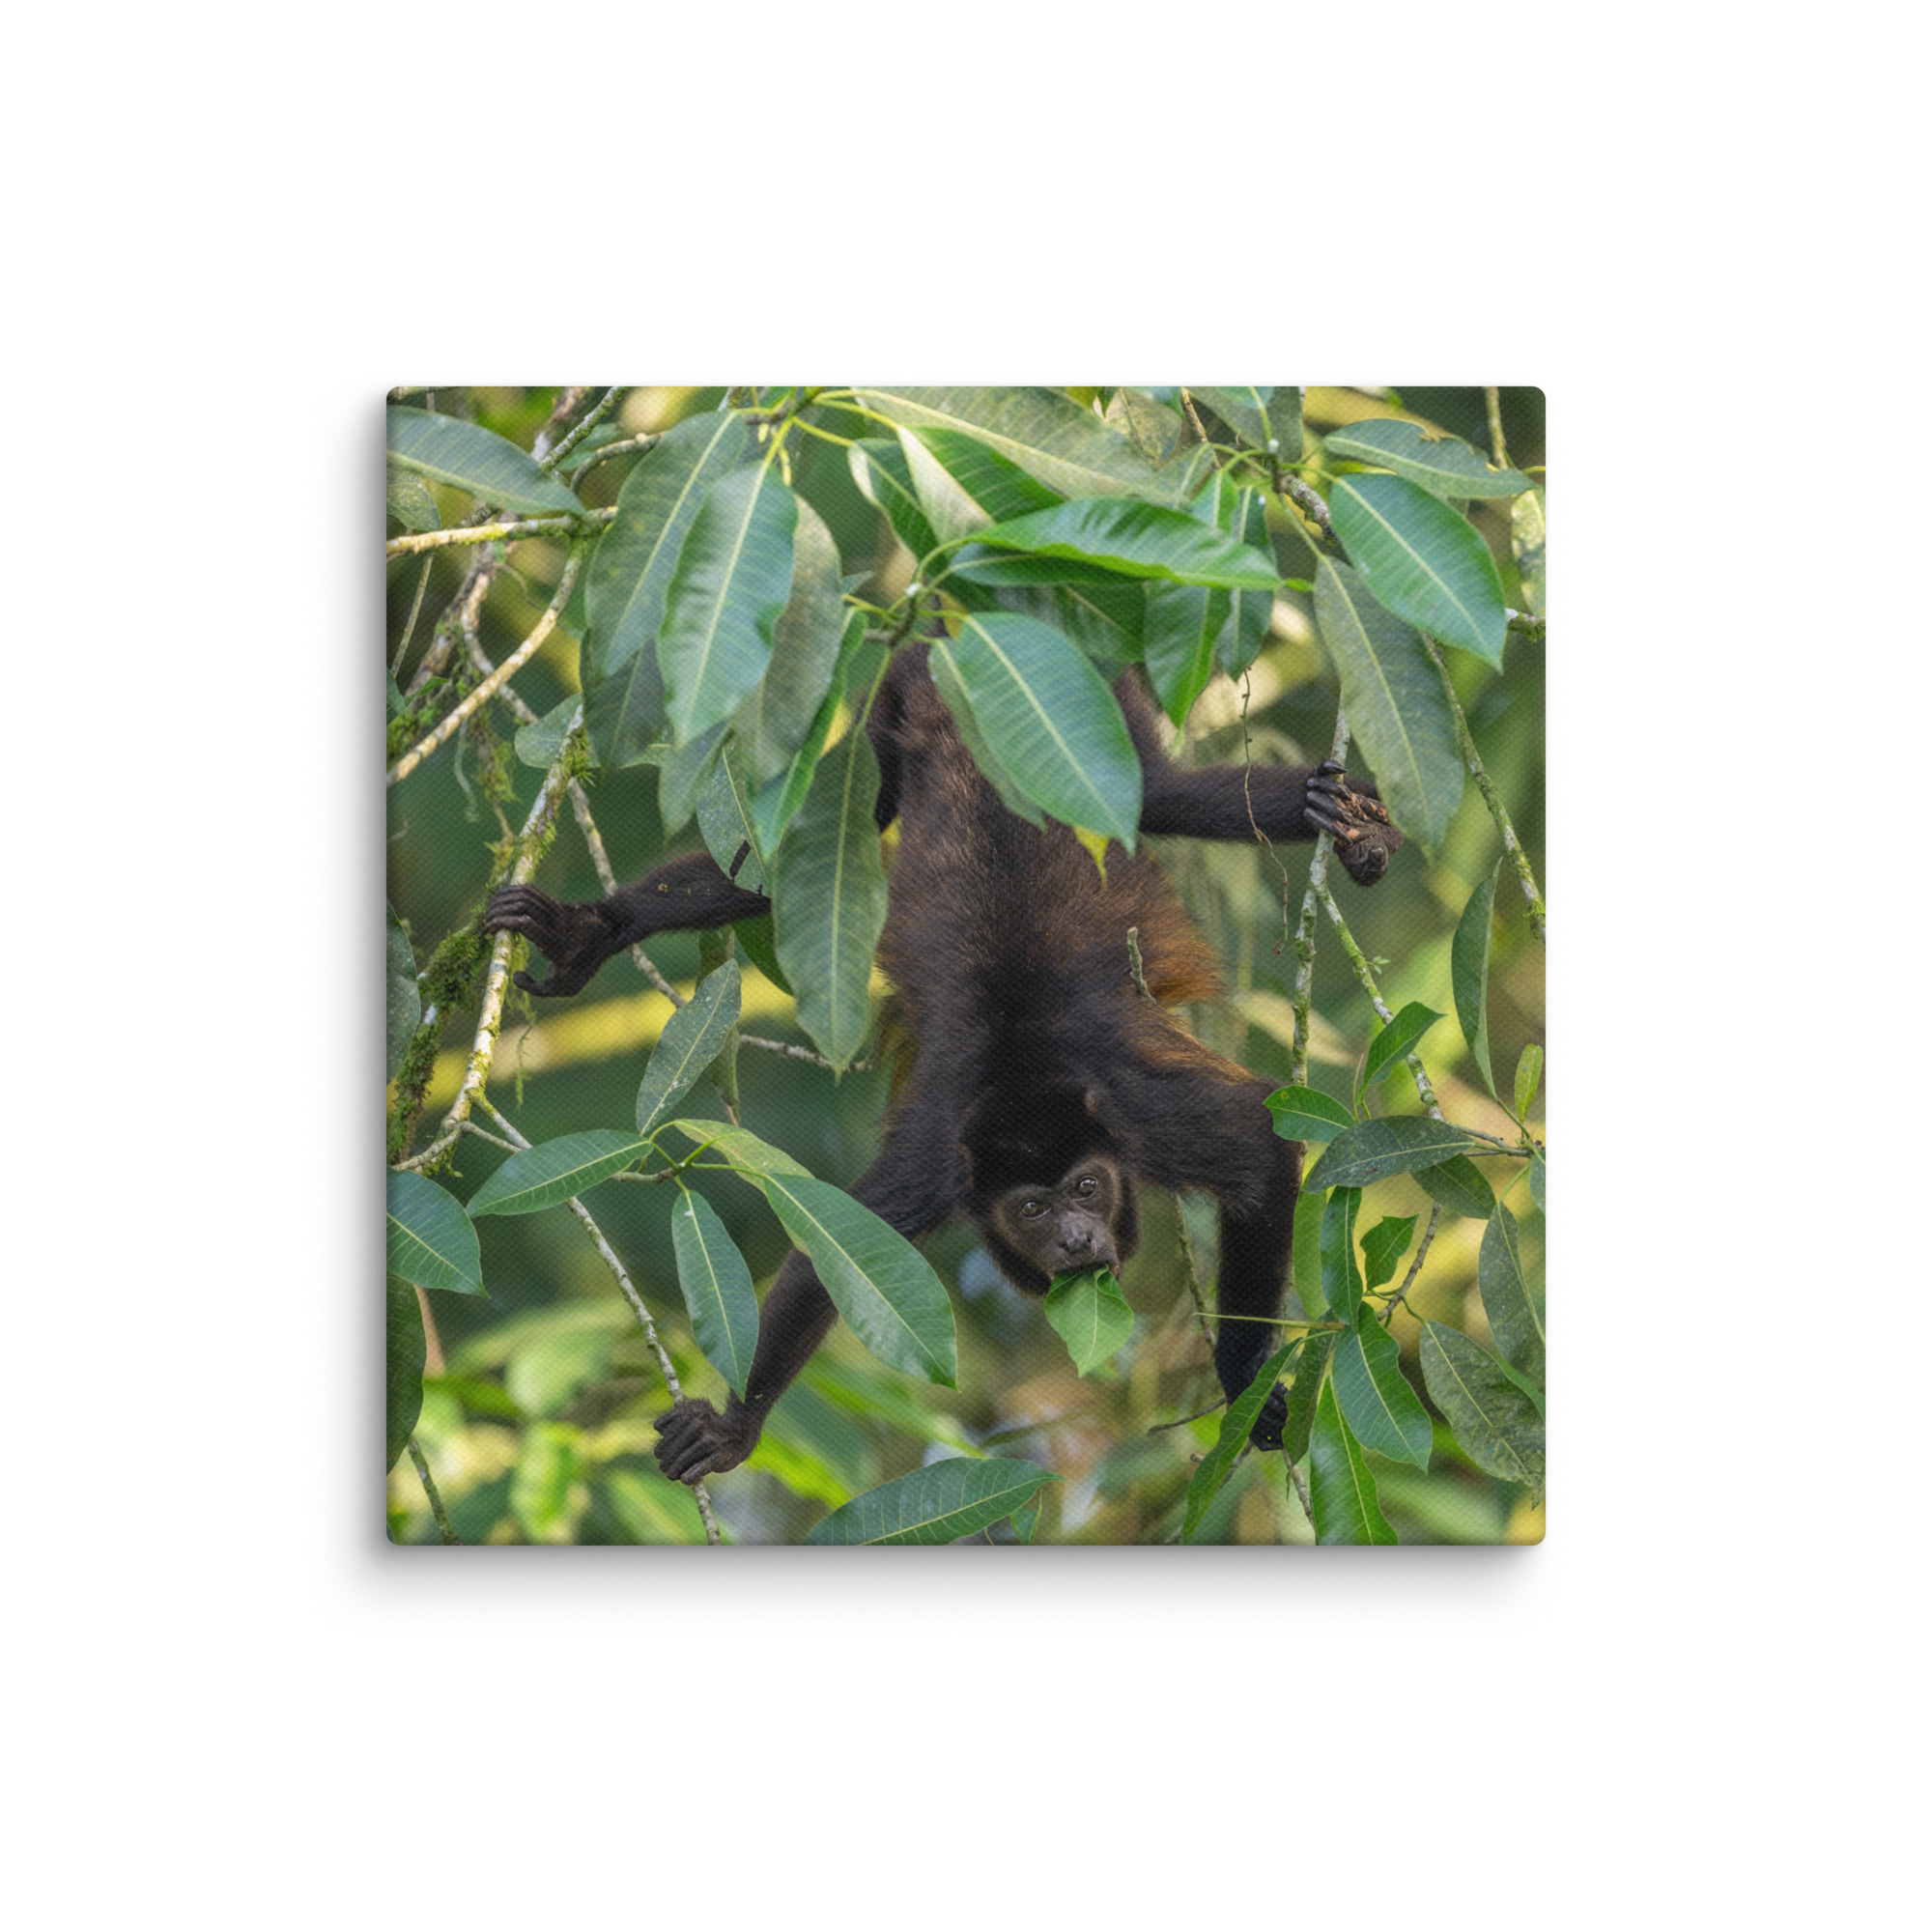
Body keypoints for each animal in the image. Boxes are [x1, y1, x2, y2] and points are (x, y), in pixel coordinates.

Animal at [482, 640, 1400, 1484]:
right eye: (1032, 1208)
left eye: (1086, 1188)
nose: (1074, 1238)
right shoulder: (937, 1162)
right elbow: (836, 1253)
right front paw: (735, 1427)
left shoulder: (1141, 1116)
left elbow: (1259, 1142)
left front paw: (1243, 1379)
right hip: (891, 717)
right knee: (810, 846)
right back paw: (595, 929)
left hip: (1097, 707)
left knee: (1167, 794)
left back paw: (1345, 823)